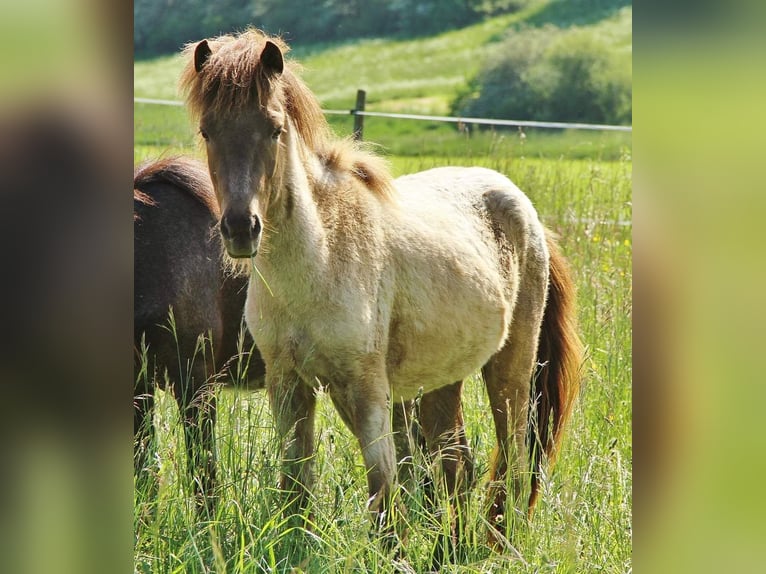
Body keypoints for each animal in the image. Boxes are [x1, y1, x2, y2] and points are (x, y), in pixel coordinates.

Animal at [180, 29, 584, 552]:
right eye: (208, 131)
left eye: (273, 129)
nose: (239, 230)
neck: (321, 257)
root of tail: (527, 211)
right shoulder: (289, 383)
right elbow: (296, 488)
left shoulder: (367, 384)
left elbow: (384, 488)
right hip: (444, 376)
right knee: (458, 464)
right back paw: (451, 552)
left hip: (511, 368)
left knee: (512, 462)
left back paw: (498, 546)